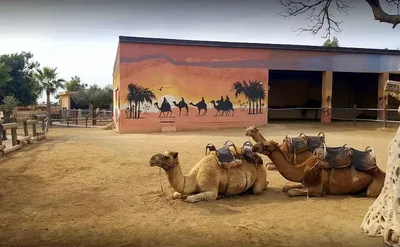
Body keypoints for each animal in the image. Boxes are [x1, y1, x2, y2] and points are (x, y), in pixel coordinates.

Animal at [252, 140, 386, 198]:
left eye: (266, 145)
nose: (254, 147)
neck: (303, 170)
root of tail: (383, 173)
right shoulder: (304, 182)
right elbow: (286, 188)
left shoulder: (315, 190)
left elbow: (291, 192)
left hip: (376, 185)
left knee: (371, 193)